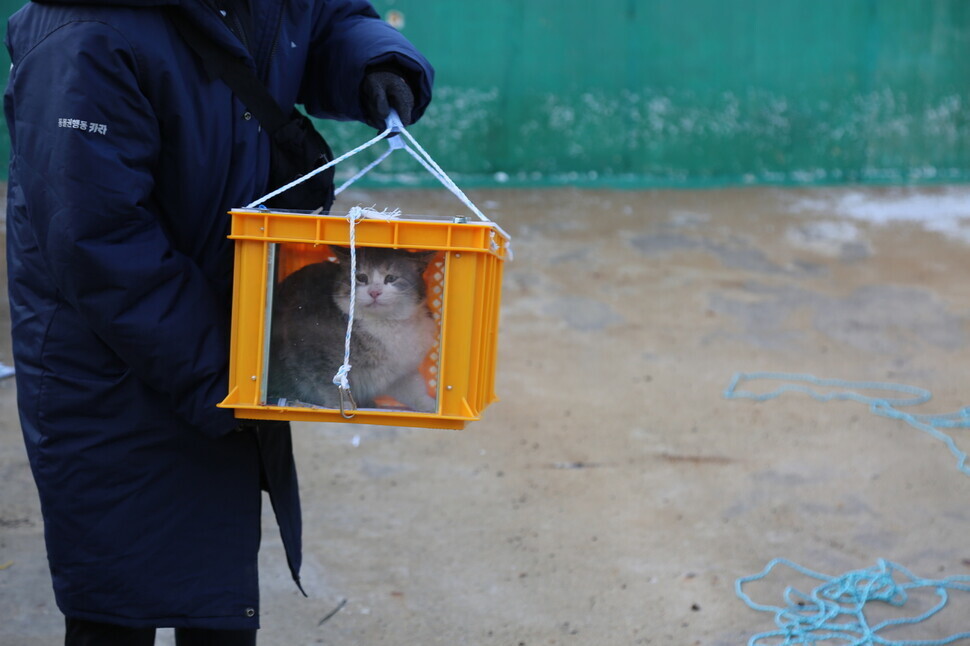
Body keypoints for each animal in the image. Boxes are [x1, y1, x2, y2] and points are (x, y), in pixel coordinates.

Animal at [268, 246, 442, 412]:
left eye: (391, 278)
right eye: (361, 278)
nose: (374, 292)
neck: (383, 323)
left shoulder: (401, 370)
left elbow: (414, 389)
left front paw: (431, 406)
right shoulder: (314, 355)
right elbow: (327, 383)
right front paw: (339, 404)